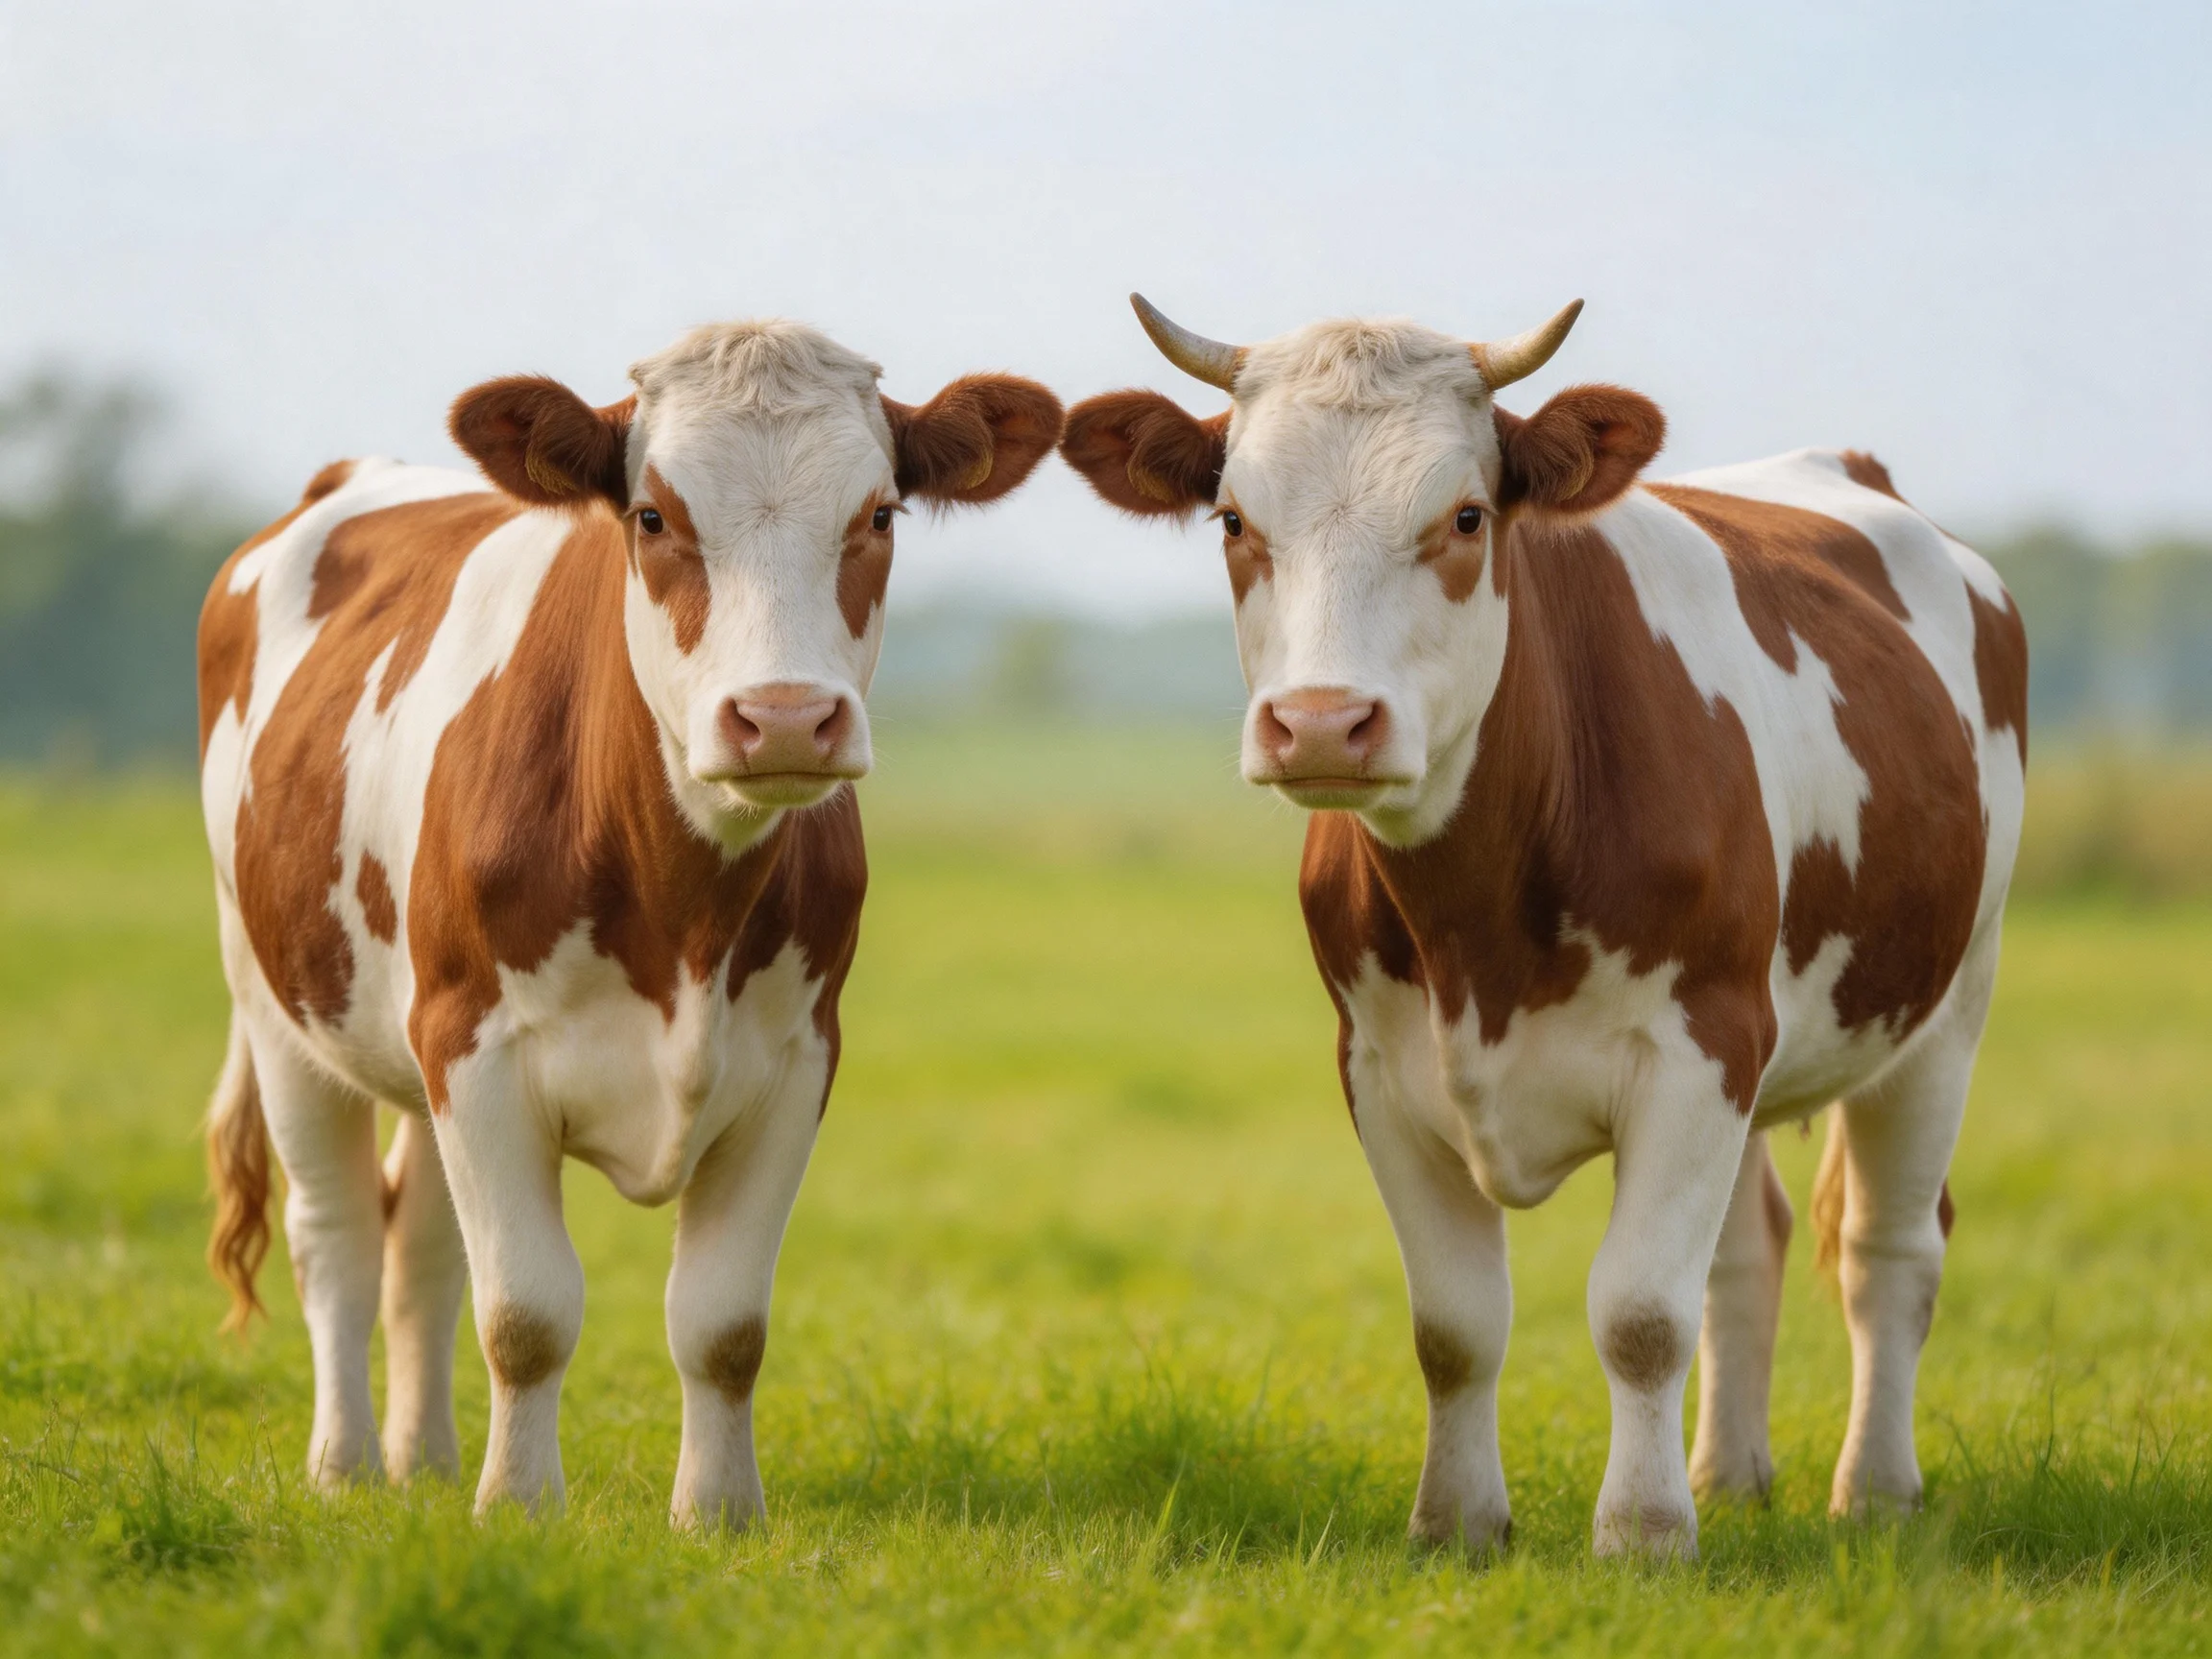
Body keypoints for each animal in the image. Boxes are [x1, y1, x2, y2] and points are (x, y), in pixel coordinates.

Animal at [197, 320, 1062, 1525]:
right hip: (279, 1002)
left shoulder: (795, 1061)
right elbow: (525, 1313)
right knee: (337, 1240)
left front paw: (718, 1515)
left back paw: (424, 1459)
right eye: (652, 516)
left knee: (418, 1245)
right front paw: (519, 1509)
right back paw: (347, 1466)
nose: (782, 716)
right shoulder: (475, 1046)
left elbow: (723, 1322)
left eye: (881, 514)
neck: (684, 907)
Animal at [1060, 295, 2027, 1557]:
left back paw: (1874, 1491)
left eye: (1466, 515)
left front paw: (1645, 1536)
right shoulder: (1380, 1071)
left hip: (1945, 1005)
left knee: (1890, 1249)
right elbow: (1455, 1323)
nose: (1321, 723)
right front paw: (1459, 1525)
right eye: (1233, 518)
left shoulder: (1699, 1048)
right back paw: (1730, 1474)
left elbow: (1640, 1314)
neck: (1481, 928)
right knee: (1750, 1247)